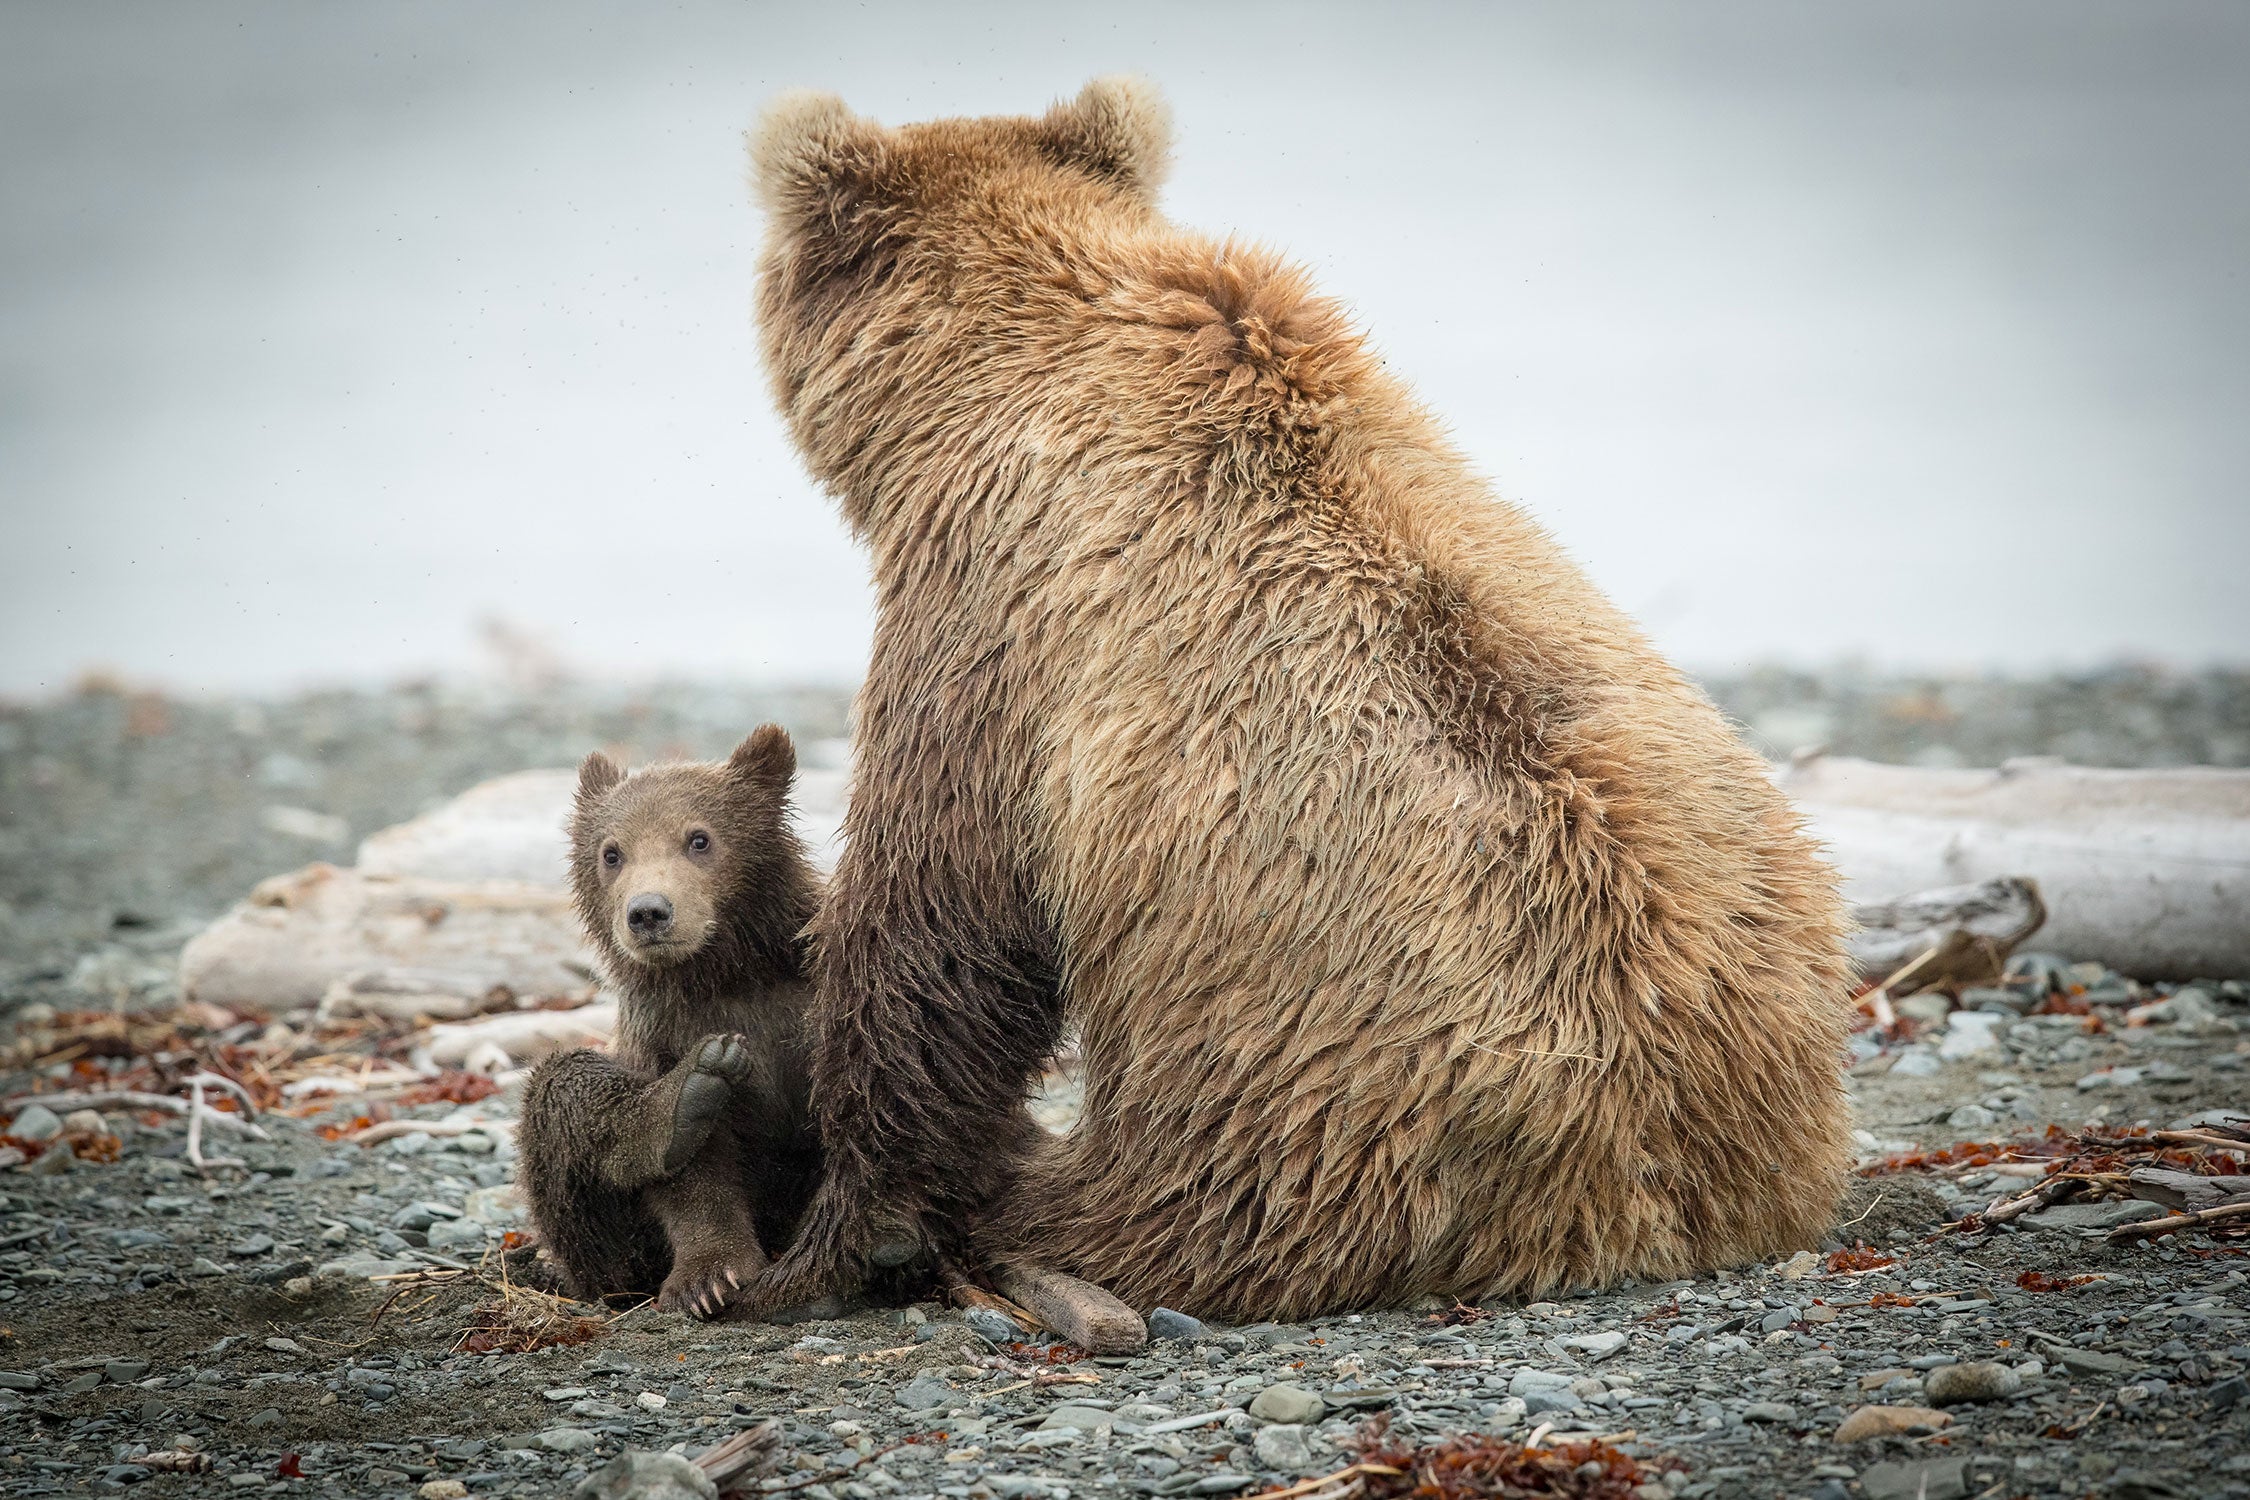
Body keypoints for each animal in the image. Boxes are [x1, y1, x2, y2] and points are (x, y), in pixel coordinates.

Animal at [515, 728, 823, 1313]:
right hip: (609, 1251)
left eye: (699, 839)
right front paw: (709, 1278)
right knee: (562, 1086)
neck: (725, 973)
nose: (648, 912)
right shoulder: (662, 1032)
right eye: (612, 852)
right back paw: (683, 1097)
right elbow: (693, 1176)